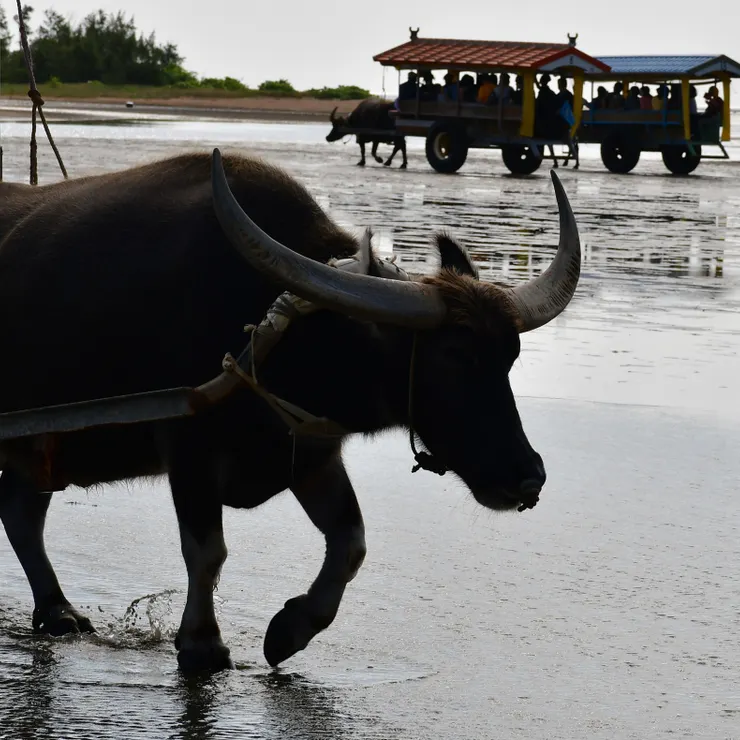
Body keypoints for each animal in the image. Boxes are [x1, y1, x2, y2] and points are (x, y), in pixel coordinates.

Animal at [0, 149, 580, 672]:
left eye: (511, 356)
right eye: (455, 356)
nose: (528, 477)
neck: (280, 333)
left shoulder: (312, 454)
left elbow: (350, 542)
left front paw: (289, 631)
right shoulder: (189, 450)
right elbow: (206, 551)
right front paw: (202, 644)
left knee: (22, 515)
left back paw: (57, 611)